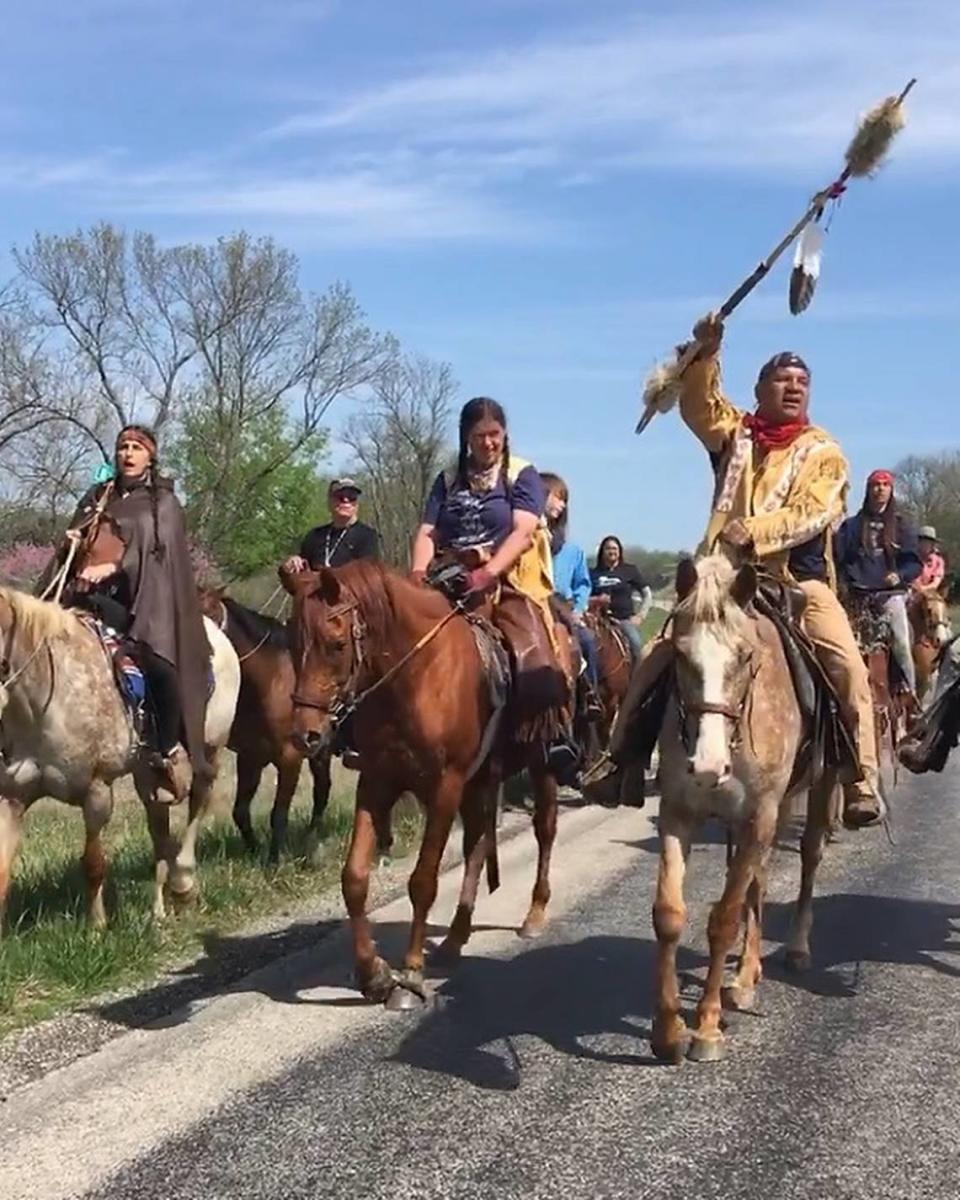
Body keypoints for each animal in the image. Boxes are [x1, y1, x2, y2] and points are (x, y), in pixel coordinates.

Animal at [196, 590, 331, 864]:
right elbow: (240, 812)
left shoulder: (290, 758)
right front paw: (254, 850)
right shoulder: (251, 757)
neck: (271, 682)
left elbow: (278, 814)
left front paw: (273, 861)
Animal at [285, 556, 571, 1008]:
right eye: (293, 645)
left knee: (544, 829)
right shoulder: (377, 781)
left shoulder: (444, 787)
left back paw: (534, 913)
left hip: (538, 764)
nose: (305, 735)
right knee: (477, 845)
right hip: (479, 782)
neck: (415, 677)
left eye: (336, 644)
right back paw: (455, 937)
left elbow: (423, 881)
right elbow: (354, 879)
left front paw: (411, 974)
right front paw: (373, 974)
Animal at [648, 556, 835, 1065]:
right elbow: (669, 915)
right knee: (760, 875)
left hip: (816, 789)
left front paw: (707, 1028)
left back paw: (796, 949)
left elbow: (724, 919)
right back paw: (745, 975)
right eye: (680, 655)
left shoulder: (758, 816)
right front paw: (667, 1031)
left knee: (808, 857)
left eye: (745, 657)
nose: (708, 766)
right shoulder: (679, 813)